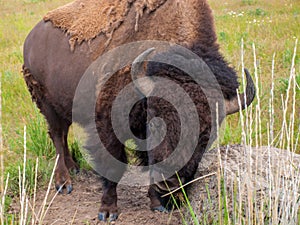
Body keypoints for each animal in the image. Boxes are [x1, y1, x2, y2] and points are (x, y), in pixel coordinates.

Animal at [22, 0, 255, 222]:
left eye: (206, 136)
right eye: (156, 123)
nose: (171, 182)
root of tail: (31, 38)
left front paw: (157, 204)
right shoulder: (107, 124)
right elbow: (114, 166)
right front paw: (108, 212)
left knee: (62, 136)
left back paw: (74, 168)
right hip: (47, 105)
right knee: (57, 136)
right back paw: (64, 182)